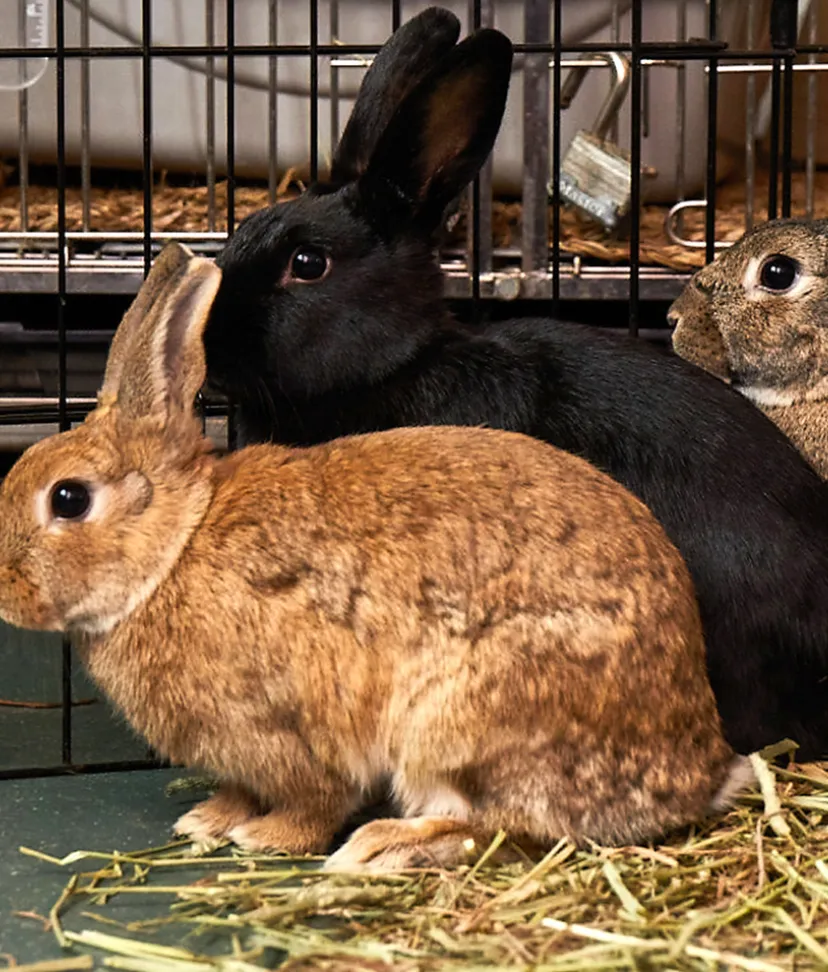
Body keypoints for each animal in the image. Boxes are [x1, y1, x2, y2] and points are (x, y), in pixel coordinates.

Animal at [0, 243, 752, 872]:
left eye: (68, 498)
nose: (4, 593)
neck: (175, 546)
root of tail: (700, 769)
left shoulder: (293, 732)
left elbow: (314, 802)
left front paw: (264, 840)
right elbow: (239, 792)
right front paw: (207, 821)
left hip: (457, 726)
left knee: (502, 827)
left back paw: (382, 847)